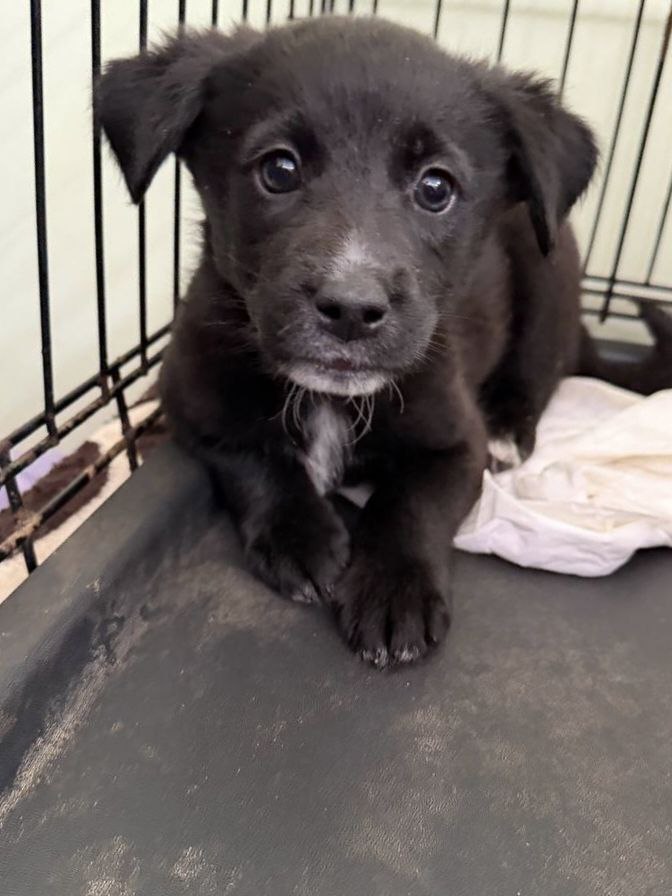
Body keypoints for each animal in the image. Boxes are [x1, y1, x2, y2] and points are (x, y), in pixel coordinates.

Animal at [97, 16, 672, 668]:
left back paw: (511, 427)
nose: (351, 309)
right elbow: (254, 456)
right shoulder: (190, 397)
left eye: (435, 187)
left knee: (542, 370)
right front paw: (301, 535)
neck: (329, 398)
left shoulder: (456, 441)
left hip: (548, 266)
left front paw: (396, 590)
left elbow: (411, 502)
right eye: (279, 170)